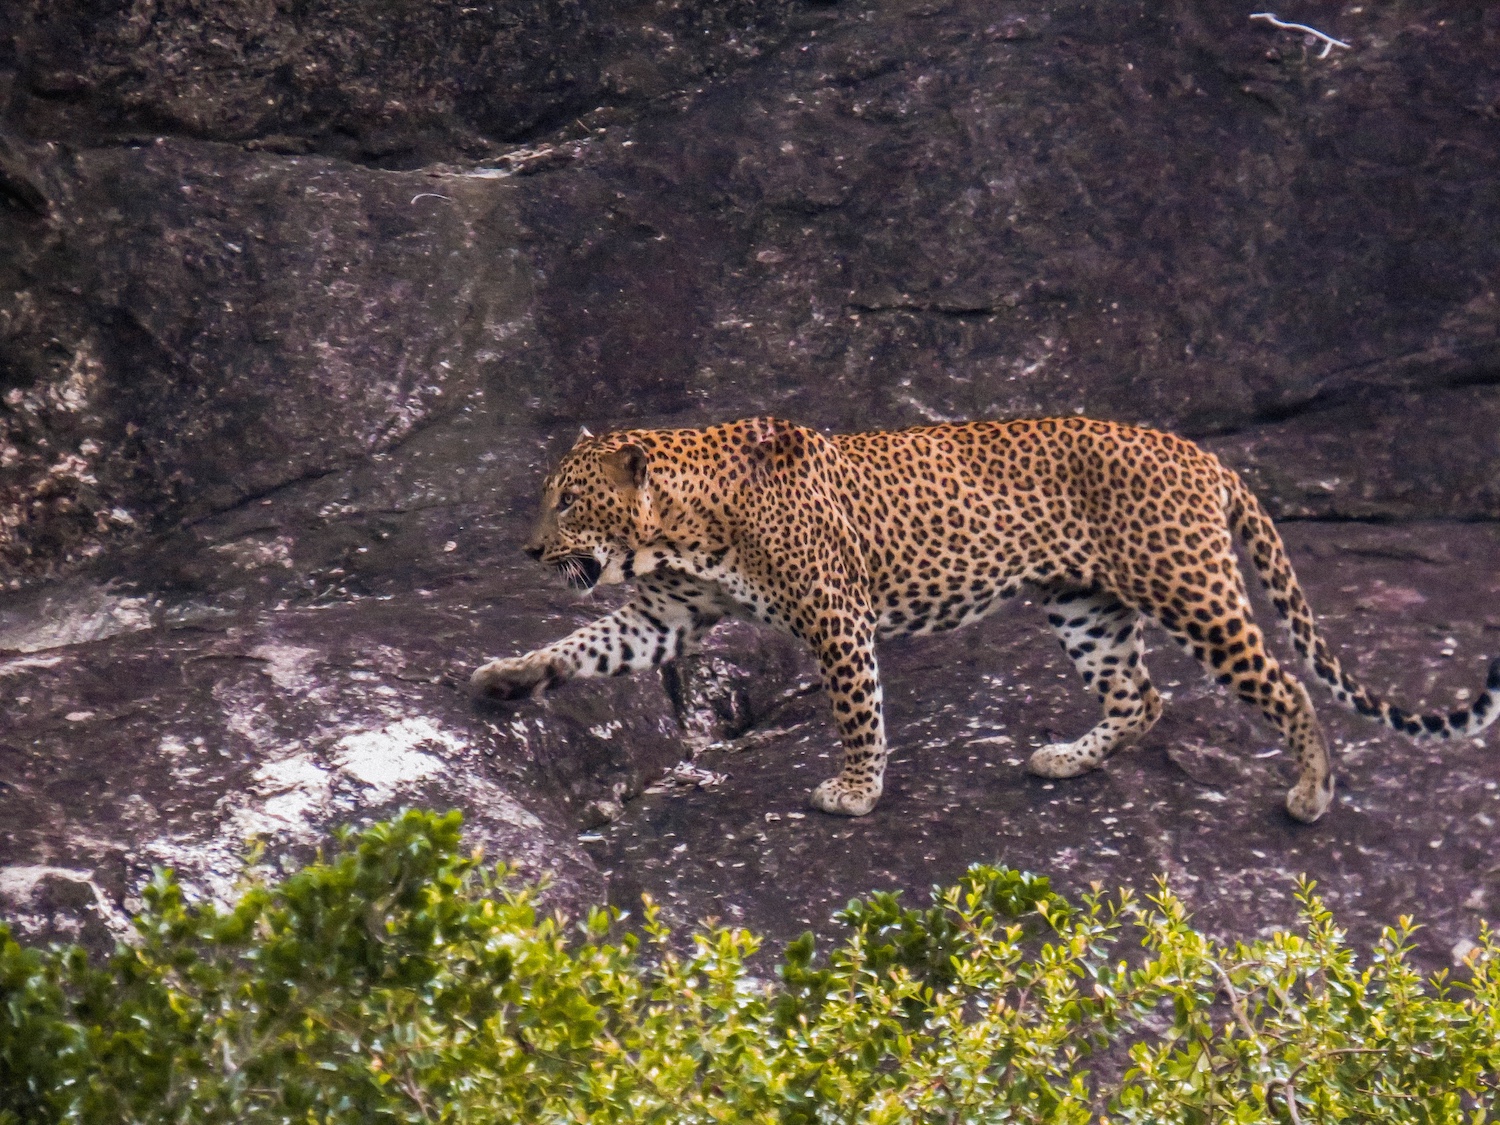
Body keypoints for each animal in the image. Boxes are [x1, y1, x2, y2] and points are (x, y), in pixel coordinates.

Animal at [470, 416, 1500, 823]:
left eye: (567, 499)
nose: (526, 549)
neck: (680, 528)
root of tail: (1201, 452)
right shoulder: (666, 615)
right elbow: (584, 642)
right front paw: (506, 674)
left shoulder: (835, 616)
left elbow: (857, 711)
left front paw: (856, 792)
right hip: (1084, 604)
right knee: (1141, 697)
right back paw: (1068, 759)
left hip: (1189, 589)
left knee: (1282, 681)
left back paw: (1312, 790)